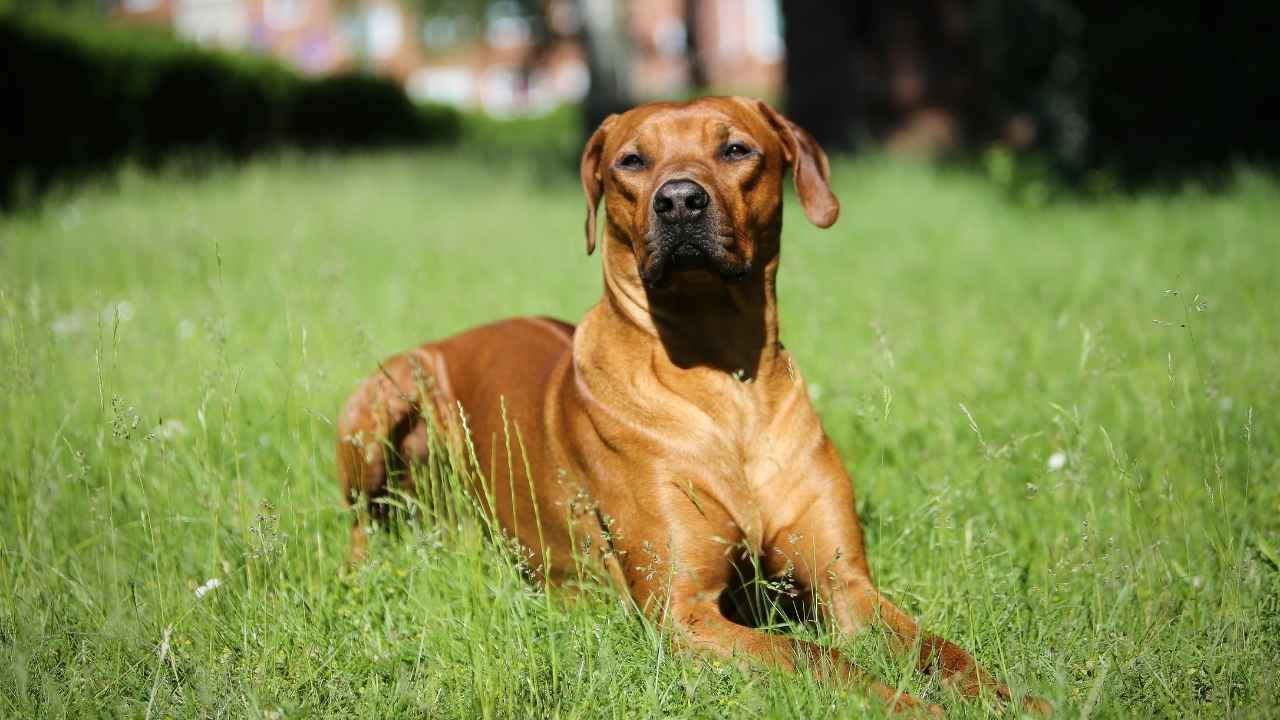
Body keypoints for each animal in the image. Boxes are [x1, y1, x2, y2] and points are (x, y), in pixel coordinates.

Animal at [340, 94, 1049, 712]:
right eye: (631, 160)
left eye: (735, 148)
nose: (679, 200)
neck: (721, 375)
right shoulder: (682, 609)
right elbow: (816, 657)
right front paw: (903, 705)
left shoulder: (845, 585)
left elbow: (942, 650)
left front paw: (1014, 698)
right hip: (381, 398)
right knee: (358, 526)